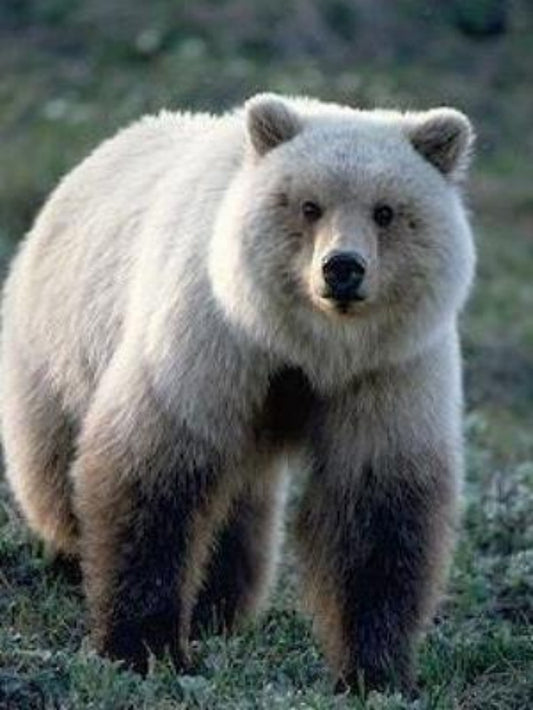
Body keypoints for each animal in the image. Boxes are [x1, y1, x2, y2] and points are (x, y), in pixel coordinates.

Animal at [0, 93, 475, 694]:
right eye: (308, 205)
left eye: (386, 210)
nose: (342, 268)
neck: (308, 349)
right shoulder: (212, 344)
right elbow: (151, 475)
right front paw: (143, 646)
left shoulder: (388, 374)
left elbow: (377, 513)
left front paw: (375, 669)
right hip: (62, 346)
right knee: (54, 472)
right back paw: (73, 559)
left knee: (239, 508)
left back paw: (217, 606)